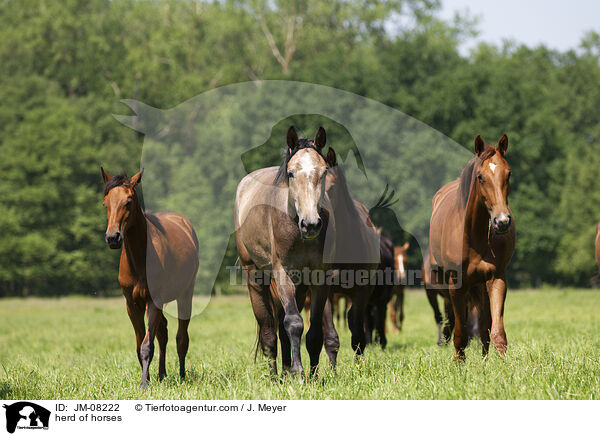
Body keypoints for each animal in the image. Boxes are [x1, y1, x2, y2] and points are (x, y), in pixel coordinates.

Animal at [101, 168, 199, 388]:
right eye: (105, 203)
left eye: (128, 201)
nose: (112, 238)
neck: (139, 259)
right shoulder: (132, 304)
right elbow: (140, 345)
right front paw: (148, 378)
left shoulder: (154, 301)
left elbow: (147, 345)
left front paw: (144, 384)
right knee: (163, 333)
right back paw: (162, 375)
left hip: (185, 295)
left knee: (181, 338)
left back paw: (181, 375)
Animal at [234, 126, 338, 374]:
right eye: (291, 173)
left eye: (323, 172)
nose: (311, 224)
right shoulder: (282, 274)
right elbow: (294, 323)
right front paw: (299, 372)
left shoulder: (320, 277)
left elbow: (313, 331)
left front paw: (312, 376)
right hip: (255, 277)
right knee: (269, 332)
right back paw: (274, 376)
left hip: (298, 286)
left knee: (281, 330)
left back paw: (284, 373)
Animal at [426, 135, 516, 360]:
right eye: (480, 176)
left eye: (508, 173)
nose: (502, 221)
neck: (474, 237)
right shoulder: (456, 285)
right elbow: (460, 333)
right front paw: (459, 363)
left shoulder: (497, 278)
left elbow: (497, 332)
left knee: (484, 325)